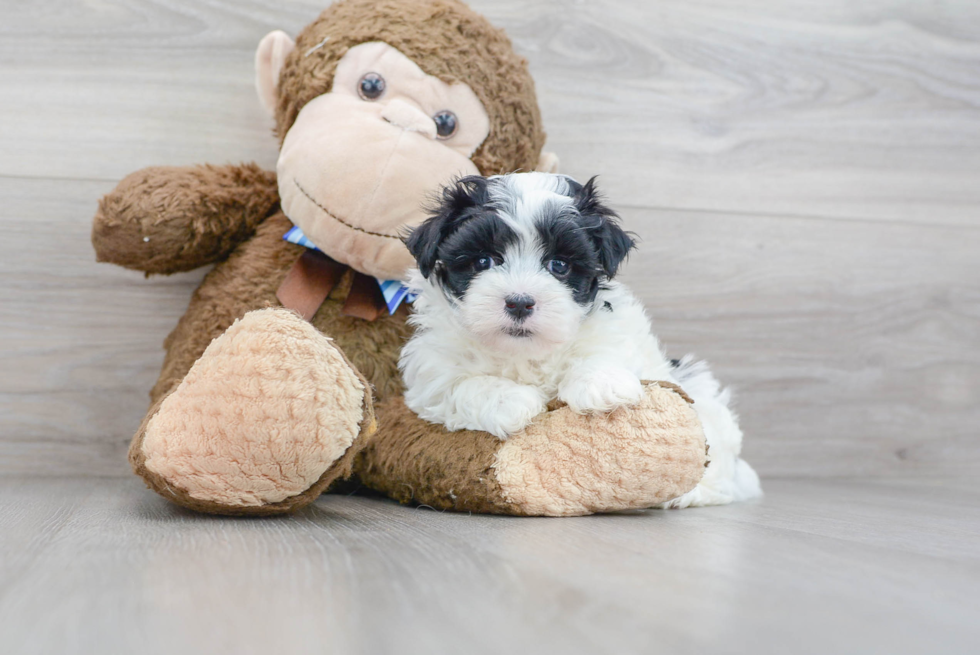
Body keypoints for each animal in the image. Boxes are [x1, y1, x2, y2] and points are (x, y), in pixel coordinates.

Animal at [402, 173, 760, 508]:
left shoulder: (615, 330)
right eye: (482, 261)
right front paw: (510, 401)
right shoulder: (432, 372)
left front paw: (601, 385)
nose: (519, 302)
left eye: (559, 265)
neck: (525, 352)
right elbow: (462, 385)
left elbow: (603, 350)